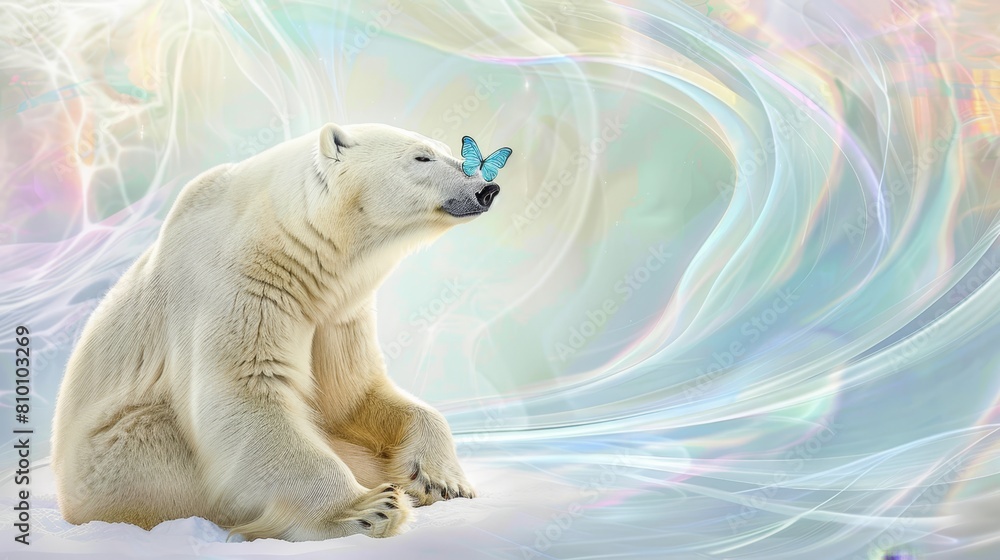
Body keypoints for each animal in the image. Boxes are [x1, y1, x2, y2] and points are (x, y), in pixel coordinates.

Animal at [50, 122, 502, 540]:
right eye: (421, 157)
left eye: (450, 151)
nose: (487, 188)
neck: (288, 238)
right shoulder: (238, 284)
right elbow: (247, 394)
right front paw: (368, 507)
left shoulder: (336, 311)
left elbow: (351, 394)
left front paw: (442, 479)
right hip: (112, 459)